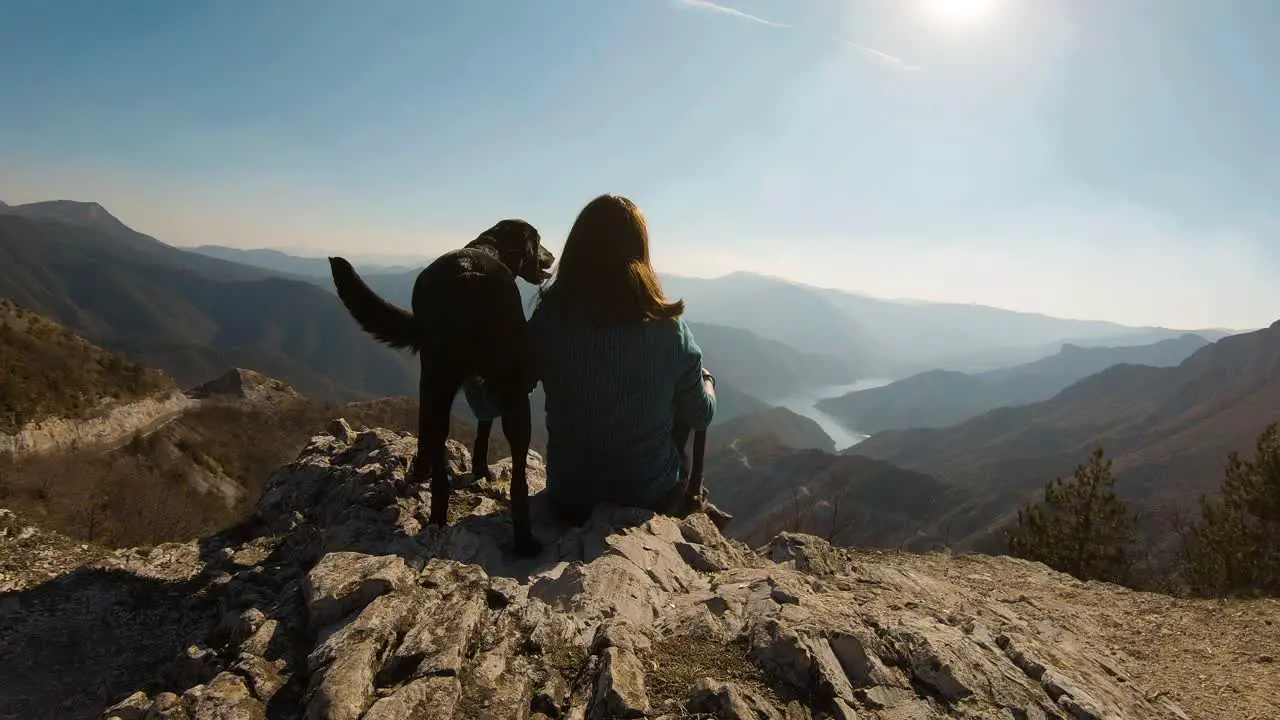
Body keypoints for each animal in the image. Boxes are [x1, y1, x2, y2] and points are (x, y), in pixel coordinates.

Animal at [327, 219, 552, 556]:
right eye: (538, 241)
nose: (551, 257)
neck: (488, 247)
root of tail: (470, 278)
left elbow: (427, 432)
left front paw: (422, 471)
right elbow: (483, 429)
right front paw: (481, 470)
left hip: (438, 381)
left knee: (436, 449)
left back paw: (437, 514)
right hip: (511, 390)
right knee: (519, 477)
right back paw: (524, 540)